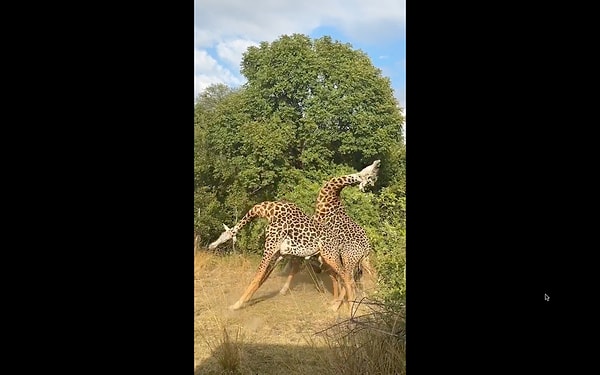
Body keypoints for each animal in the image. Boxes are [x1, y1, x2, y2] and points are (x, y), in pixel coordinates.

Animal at [209, 201, 354, 312]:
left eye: (223, 237)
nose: (211, 245)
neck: (268, 211)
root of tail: (339, 241)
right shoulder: (279, 254)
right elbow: (263, 278)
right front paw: (247, 300)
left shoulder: (270, 247)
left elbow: (257, 277)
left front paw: (236, 305)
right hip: (324, 259)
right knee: (338, 277)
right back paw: (334, 303)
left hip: (330, 256)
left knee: (347, 277)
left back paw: (344, 308)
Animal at [280, 159, 382, 308]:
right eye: (371, 176)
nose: (377, 163)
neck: (330, 196)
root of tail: (365, 247)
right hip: (363, 259)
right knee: (367, 274)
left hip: (348, 258)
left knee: (349, 279)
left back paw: (341, 306)